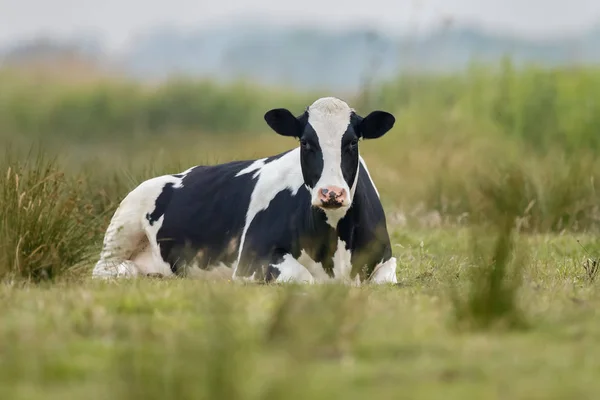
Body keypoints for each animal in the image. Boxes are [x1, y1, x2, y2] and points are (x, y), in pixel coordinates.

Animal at [92, 97, 398, 284]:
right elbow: (305, 279)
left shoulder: (386, 261)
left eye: (352, 142)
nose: (331, 193)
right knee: (105, 269)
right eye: (305, 142)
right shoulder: (252, 259)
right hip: (123, 227)